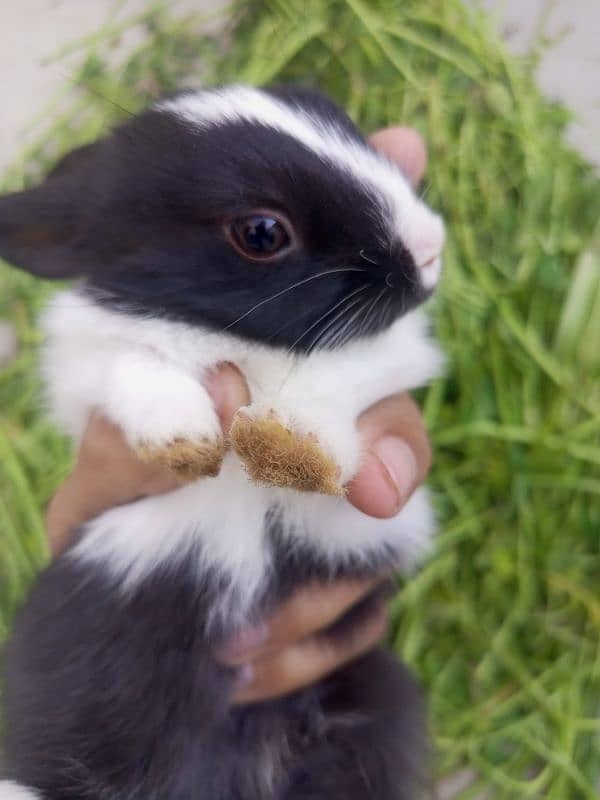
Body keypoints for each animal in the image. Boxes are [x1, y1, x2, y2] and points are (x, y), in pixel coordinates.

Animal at [0, 86, 440, 800]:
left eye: (342, 123)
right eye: (262, 233)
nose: (431, 247)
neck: (234, 338)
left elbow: (334, 375)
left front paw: (289, 450)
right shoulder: (85, 366)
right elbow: (135, 363)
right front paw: (187, 439)